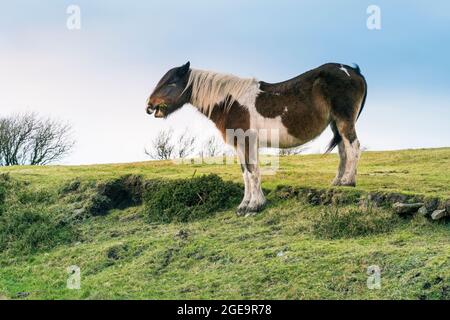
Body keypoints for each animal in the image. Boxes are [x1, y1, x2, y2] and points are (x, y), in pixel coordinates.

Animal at [146, 61, 368, 216]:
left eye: (171, 83)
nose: (149, 105)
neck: (230, 103)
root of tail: (354, 71)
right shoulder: (240, 144)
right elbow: (246, 173)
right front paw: (245, 204)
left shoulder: (246, 142)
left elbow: (252, 172)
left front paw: (254, 205)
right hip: (335, 123)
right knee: (343, 149)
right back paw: (338, 181)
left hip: (343, 119)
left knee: (353, 146)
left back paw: (348, 181)